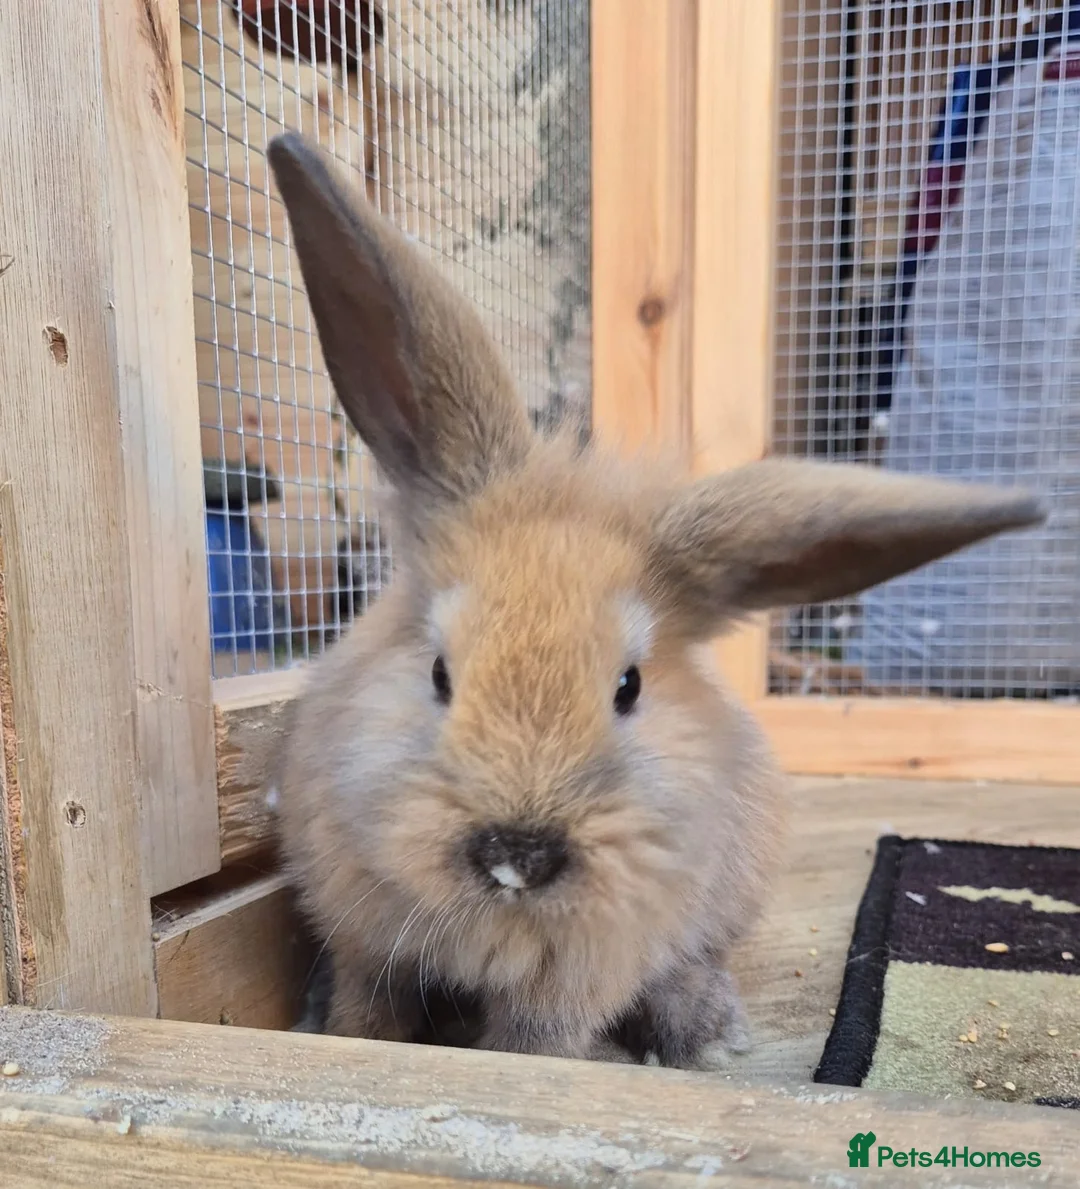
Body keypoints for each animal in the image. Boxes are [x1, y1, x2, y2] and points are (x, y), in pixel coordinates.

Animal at [265, 131, 1045, 1068]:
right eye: (439, 673)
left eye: (629, 686)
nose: (518, 853)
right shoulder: (362, 940)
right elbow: (368, 1010)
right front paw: (341, 1039)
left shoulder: (578, 975)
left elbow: (533, 1045)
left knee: (694, 963)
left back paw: (705, 1035)